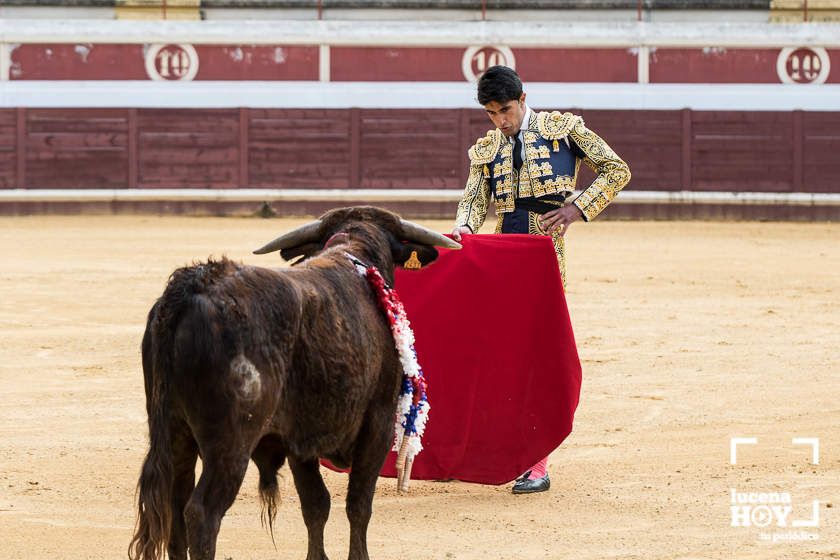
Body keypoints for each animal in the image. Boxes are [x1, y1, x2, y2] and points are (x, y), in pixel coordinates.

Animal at [130, 207, 460, 560]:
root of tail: (191, 288)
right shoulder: (379, 423)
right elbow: (358, 504)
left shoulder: (300, 439)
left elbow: (315, 504)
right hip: (230, 444)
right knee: (202, 512)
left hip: (175, 433)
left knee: (174, 504)